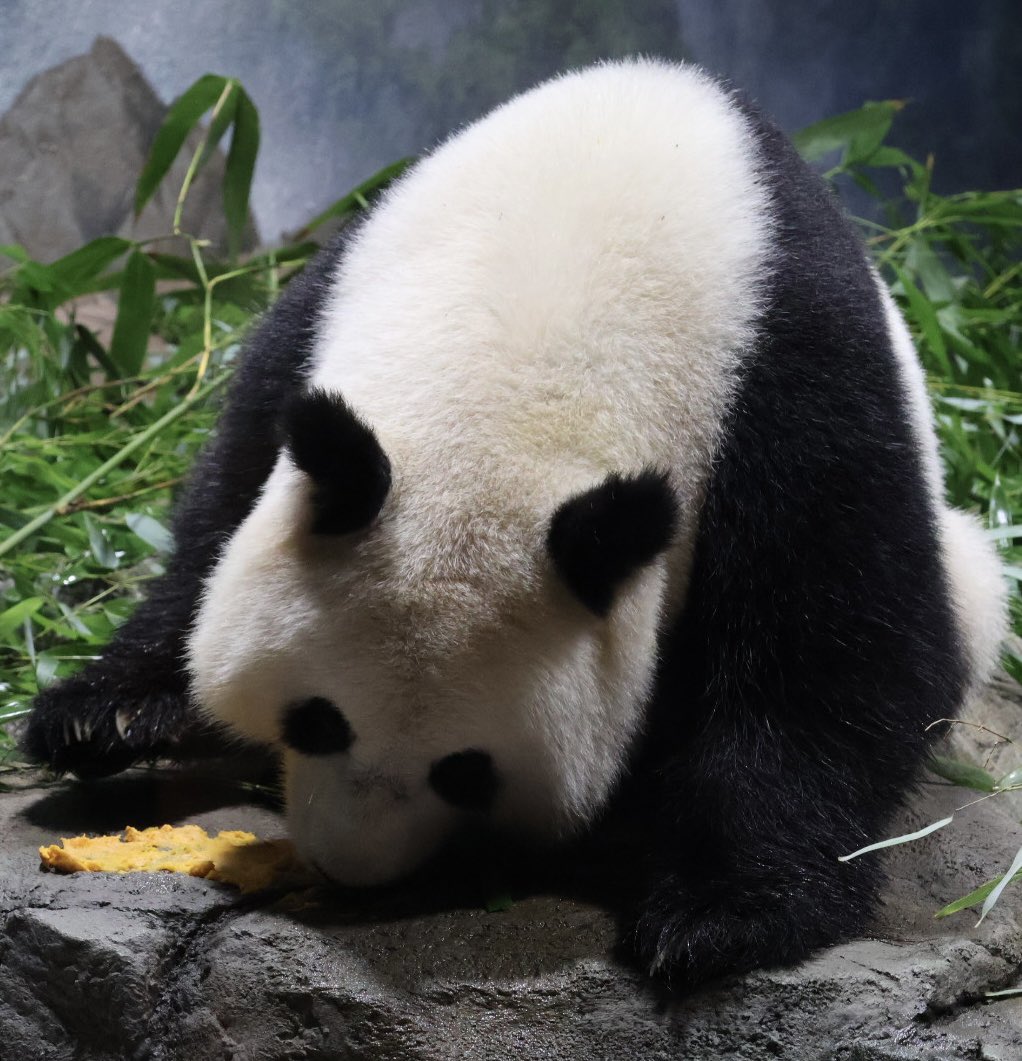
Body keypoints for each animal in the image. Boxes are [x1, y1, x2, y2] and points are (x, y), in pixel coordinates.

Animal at [25, 60, 1006, 987]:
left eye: (467, 769)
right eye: (316, 719)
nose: (350, 864)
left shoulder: (795, 392)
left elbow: (834, 652)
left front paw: (721, 911)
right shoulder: (323, 311)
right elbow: (219, 512)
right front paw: (105, 715)